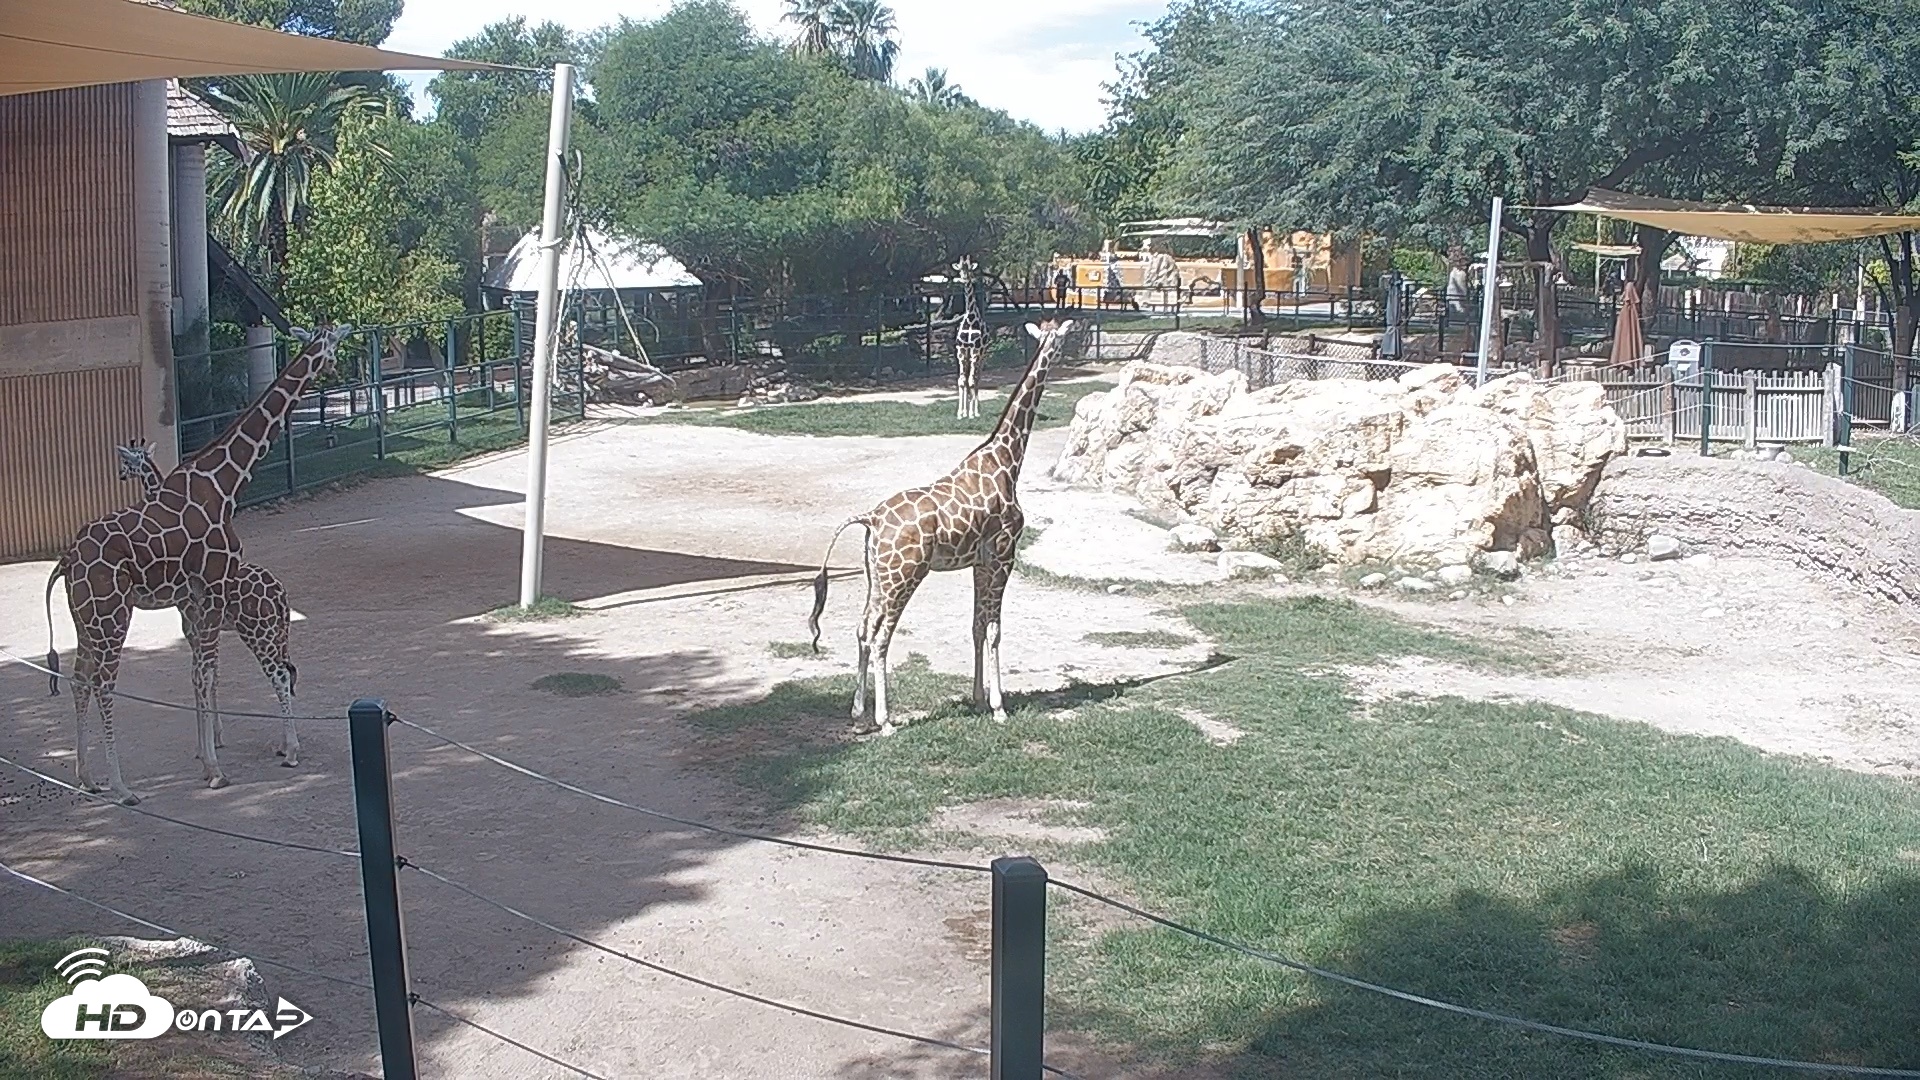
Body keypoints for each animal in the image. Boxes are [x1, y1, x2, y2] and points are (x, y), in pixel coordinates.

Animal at [114, 440, 302, 778]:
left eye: (128, 461)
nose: (121, 475)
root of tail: (280, 594)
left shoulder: (191, 625)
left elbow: (201, 677)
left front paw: (206, 749)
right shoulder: (203, 628)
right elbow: (211, 674)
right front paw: (213, 741)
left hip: (257, 633)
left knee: (280, 675)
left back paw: (292, 752)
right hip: (279, 633)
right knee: (287, 673)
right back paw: (284, 745)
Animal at [808, 319, 1075, 735]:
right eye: (1060, 337)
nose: (1064, 351)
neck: (1007, 460)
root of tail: (871, 518)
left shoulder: (980, 562)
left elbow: (977, 626)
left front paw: (979, 699)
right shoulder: (1004, 555)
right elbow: (995, 629)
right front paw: (999, 707)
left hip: (877, 577)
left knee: (863, 629)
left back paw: (857, 714)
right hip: (904, 576)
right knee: (881, 636)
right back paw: (885, 721)